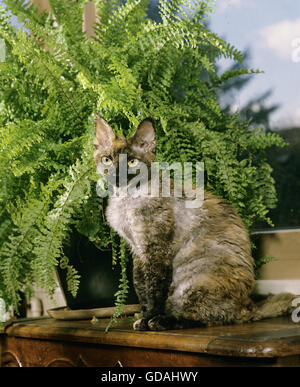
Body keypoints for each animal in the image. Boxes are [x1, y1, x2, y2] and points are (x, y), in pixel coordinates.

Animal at [94, 114, 296, 330]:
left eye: (132, 162)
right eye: (107, 159)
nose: (116, 174)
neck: (126, 200)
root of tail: (250, 305)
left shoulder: (156, 251)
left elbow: (154, 290)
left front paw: (149, 319)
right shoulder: (138, 251)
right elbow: (141, 289)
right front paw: (143, 318)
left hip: (193, 282)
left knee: (209, 317)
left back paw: (162, 321)